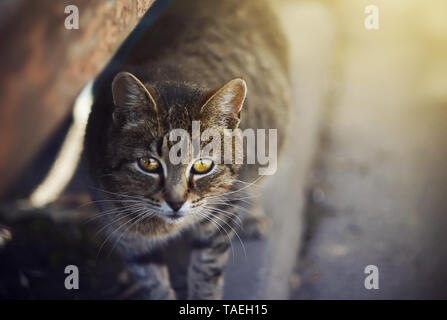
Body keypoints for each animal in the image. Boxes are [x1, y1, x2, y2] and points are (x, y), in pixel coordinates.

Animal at [86, 0, 292, 300]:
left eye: (203, 166)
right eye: (148, 164)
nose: (175, 202)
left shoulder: (221, 214)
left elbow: (205, 271)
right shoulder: (126, 236)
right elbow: (153, 282)